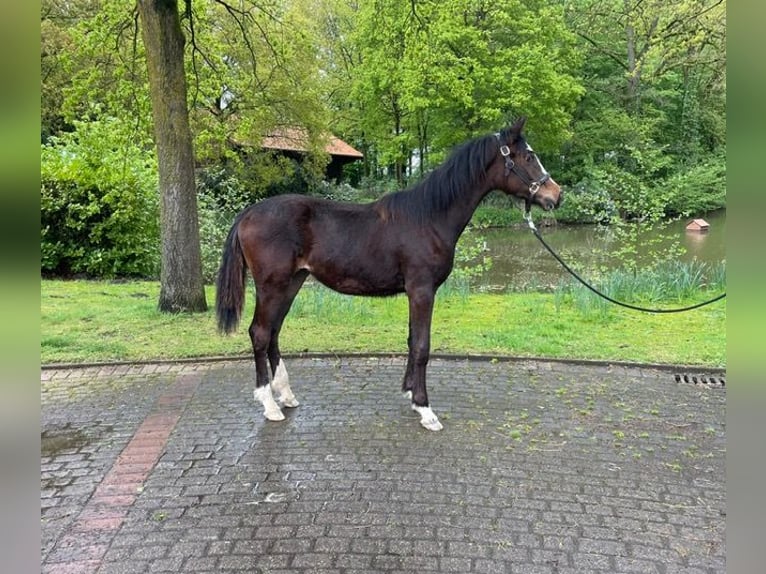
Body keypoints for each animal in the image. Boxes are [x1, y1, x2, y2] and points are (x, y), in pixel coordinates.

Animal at [218, 118, 564, 432]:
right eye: (528, 157)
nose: (556, 195)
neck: (429, 216)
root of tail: (248, 214)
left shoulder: (416, 292)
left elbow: (412, 341)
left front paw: (410, 394)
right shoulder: (422, 290)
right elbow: (422, 346)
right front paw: (425, 409)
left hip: (292, 283)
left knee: (273, 333)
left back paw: (286, 395)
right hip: (271, 286)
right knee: (260, 333)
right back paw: (269, 405)